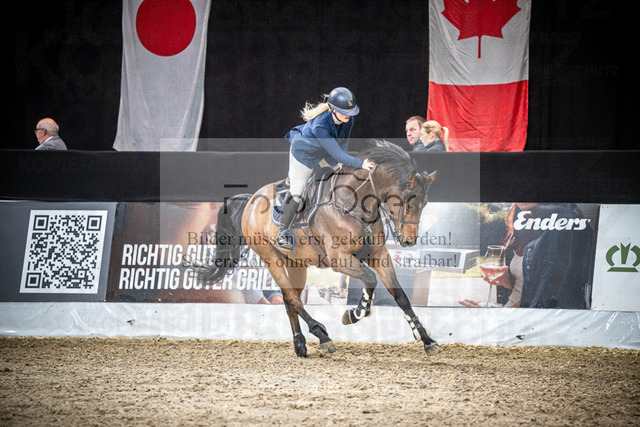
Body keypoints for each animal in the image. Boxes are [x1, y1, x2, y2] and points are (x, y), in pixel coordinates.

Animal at [202, 140, 439, 357]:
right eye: (409, 203)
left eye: (426, 202)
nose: (408, 241)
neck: (354, 204)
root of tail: (251, 199)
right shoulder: (339, 259)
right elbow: (370, 279)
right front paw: (356, 313)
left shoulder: (379, 255)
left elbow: (400, 296)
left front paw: (426, 339)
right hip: (270, 258)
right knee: (292, 297)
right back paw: (321, 333)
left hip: (296, 263)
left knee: (290, 300)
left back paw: (300, 344)